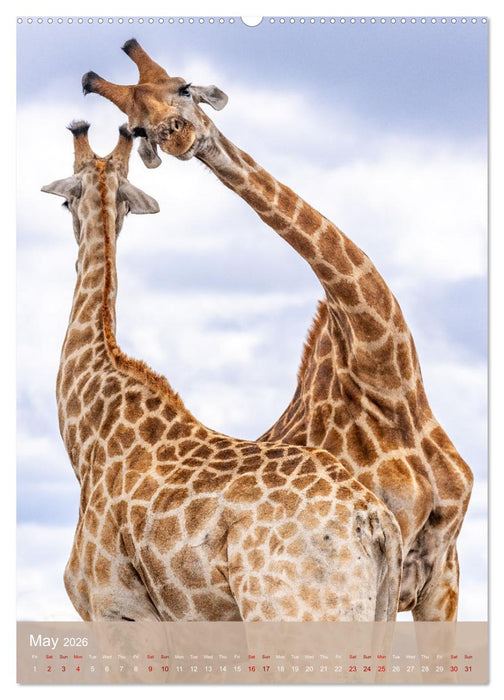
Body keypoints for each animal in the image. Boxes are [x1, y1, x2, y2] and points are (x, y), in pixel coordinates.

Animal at [41, 121, 403, 623]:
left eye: (64, 201)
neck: (89, 431)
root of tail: (375, 523)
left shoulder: (116, 609)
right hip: (378, 612)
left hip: (291, 612)